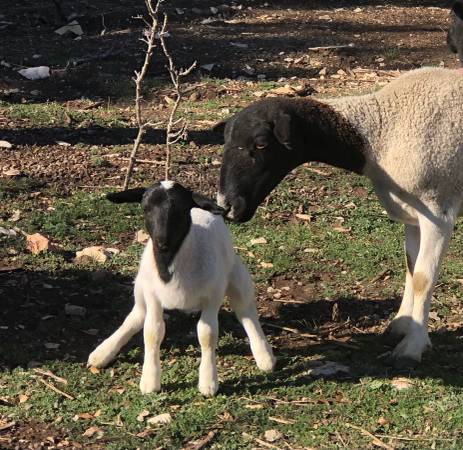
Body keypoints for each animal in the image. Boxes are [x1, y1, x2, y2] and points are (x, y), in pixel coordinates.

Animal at [87, 181, 276, 396]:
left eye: (180, 209)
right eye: (145, 208)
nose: (162, 242)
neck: (169, 266)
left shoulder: (213, 297)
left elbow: (207, 334)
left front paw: (208, 381)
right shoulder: (153, 296)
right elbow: (152, 332)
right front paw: (150, 380)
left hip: (236, 274)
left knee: (246, 311)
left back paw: (264, 356)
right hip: (141, 285)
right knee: (136, 316)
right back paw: (103, 352)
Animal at [216, 67, 463, 370]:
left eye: (261, 144)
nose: (227, 205)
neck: (380, 132)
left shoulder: (437, 213)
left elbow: (422, 279)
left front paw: (412, 346)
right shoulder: (412, 215)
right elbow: (410, 268)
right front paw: (401, 326)